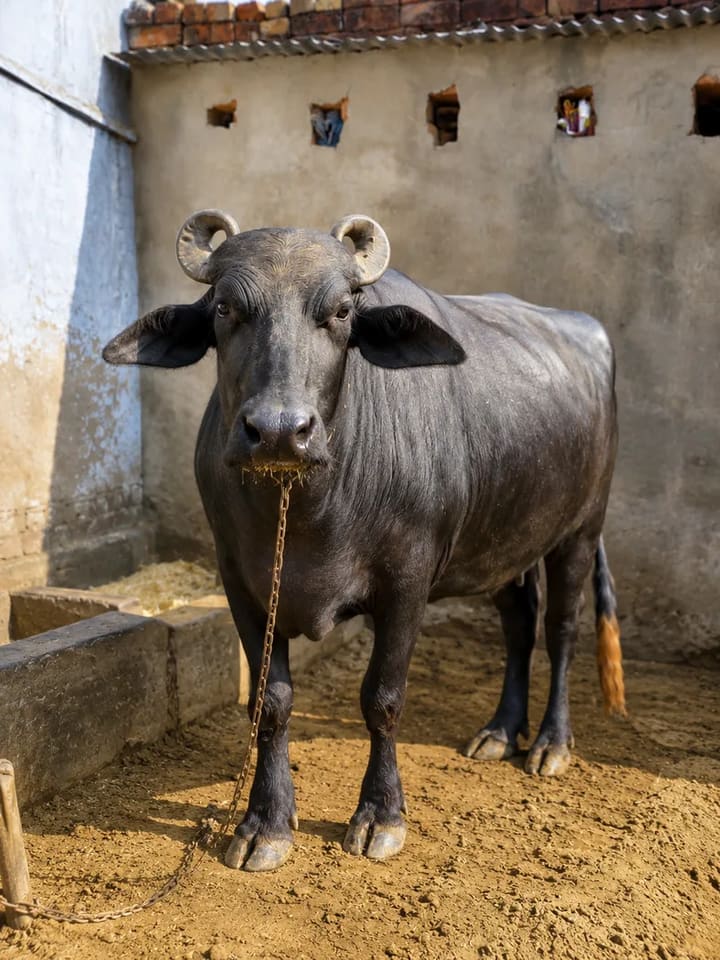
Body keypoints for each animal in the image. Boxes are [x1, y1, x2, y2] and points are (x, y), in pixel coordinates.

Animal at [103, 211, 625, 872]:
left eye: (342, 312)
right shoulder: (240, 582)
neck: (307, 508)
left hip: (580, 531)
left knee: (560, 630)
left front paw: (381, 816)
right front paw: (265, 823)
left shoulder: (407, 582)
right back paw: (501, 731)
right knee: (519, 623)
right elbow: (269, 702)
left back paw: (551, 744)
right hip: (502, 544)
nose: (280, 431)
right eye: (224, 307)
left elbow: (383, 699)